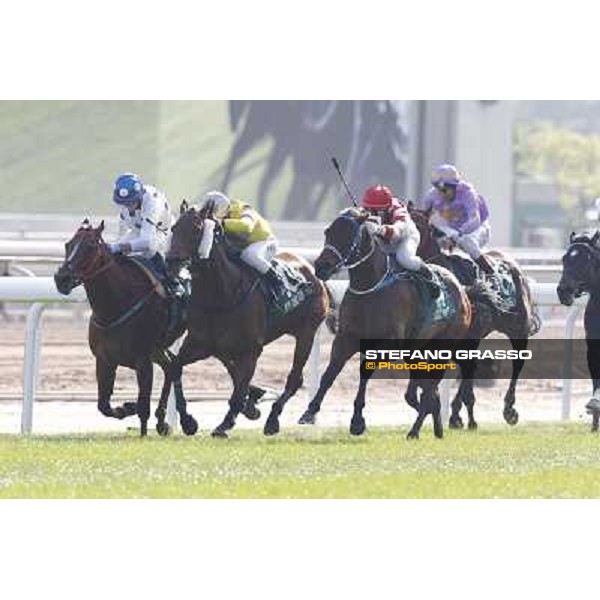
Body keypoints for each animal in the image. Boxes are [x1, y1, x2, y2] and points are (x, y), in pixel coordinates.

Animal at [53, 220, 197, 436]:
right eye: (67, 245)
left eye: (91, 246)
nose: (61, 278)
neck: (115, 306)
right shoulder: (104, 360)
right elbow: (104, 405)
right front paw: (126, 407)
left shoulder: (143, 360)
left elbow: (143, 406)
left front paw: (141, 429)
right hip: (157, 349)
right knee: (171, 366)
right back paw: (167, 420)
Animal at [166, 200, 330, 436]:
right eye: (174, 228)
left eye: (197, 229)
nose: (171, 261)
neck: (222, 294)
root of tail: (310, 269)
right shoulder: (199, 344)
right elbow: (176, 367)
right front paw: (188, 420)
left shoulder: (251, 349)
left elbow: (238, 390)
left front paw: (225, 424)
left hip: (306, 333)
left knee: (294, 379)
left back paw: (272, 419)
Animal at [296, 209, 474, 438]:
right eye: (328, 232)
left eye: (349, 236)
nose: (321, 267)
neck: (370, 286)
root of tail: (462, 292)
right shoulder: (346, 338)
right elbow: (329, 373)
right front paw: (310, 411)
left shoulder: (386, 343)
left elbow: (364, 372)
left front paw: (357, 421)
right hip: (417, 349)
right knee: (425, 388)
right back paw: (436, 425)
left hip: (445, 345)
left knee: (428, 390)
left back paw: (415, 430)